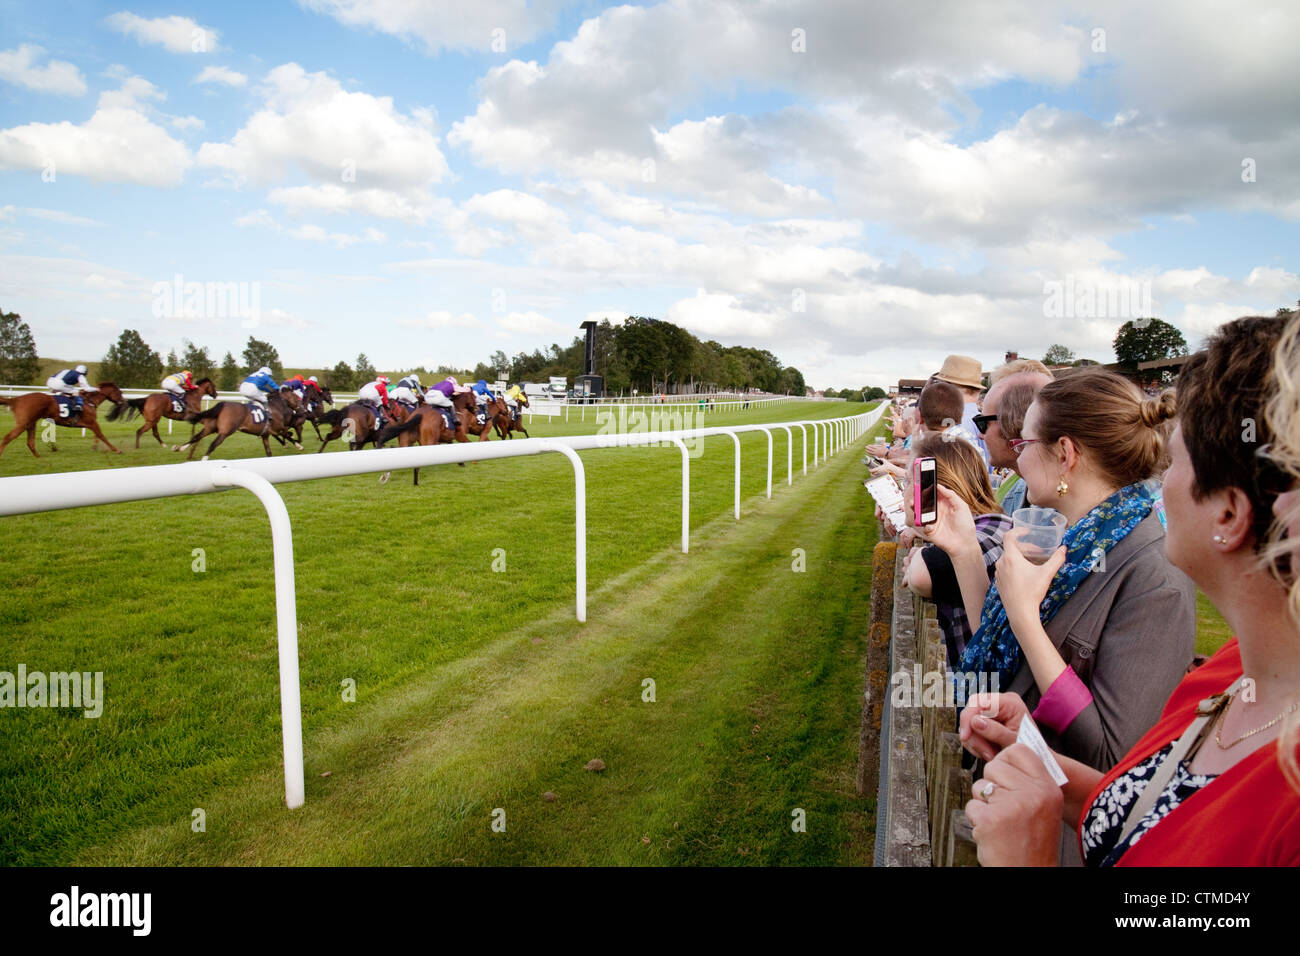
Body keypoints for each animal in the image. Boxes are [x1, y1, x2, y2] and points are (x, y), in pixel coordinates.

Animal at [174, 390, 302, 463]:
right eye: (297, 398)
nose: (303, 408)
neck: (275, 408)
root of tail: (224, 403)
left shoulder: (265, 435)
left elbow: (269, 452)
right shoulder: (277, 429)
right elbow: (287, 434)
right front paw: (299, 446)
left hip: (211, 428)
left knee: (197, 436)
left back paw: (180, 448)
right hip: (225, 431)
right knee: (213, 444)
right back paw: (204, 459)